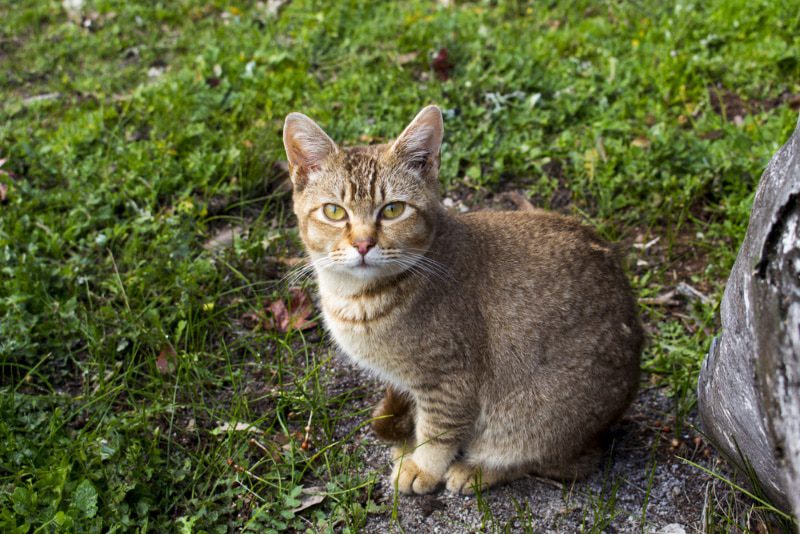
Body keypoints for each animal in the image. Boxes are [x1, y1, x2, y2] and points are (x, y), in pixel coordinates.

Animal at [282, 107, 644, 496]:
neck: (357, 298)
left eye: (393, 210)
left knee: (557, 463)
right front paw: (406, 444)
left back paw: (476, 470)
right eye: (334, 212)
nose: (363, 244)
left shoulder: (451, 380)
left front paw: (423, 467)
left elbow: (438, 431)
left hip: (536, 420)